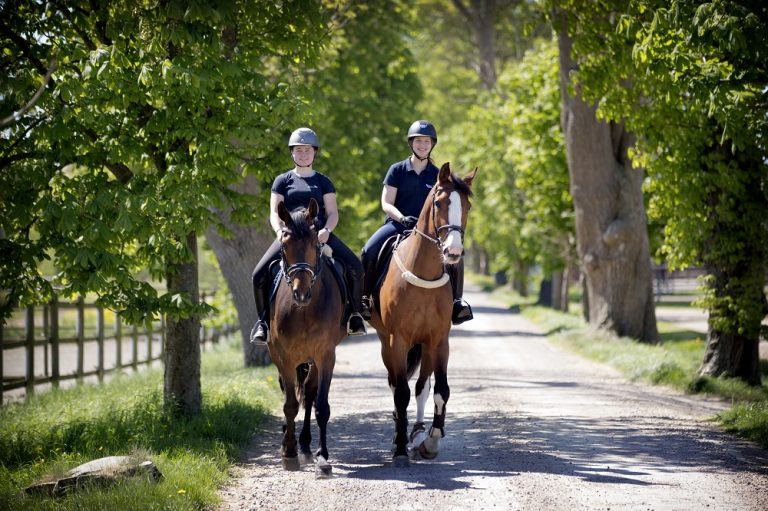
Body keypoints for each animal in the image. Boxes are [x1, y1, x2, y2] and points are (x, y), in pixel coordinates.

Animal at [268, 198, 344, 478]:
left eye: (315, 244)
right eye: (284, 246)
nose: (301, 294)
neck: (303, 310)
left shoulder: (326, 355)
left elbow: (321, 405)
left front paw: (323, 458)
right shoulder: (282, 356)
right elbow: (290, 404)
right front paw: (288, 453)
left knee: (309, 393)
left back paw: (306, 445)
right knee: (291, 394)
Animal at [368, 162, 476, 466]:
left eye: (467, 205)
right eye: (439, 203)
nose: (453, 251)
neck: (423, 272)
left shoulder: (439, 340)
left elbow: (439, 390)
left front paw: (431, 439)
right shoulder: (398, 340)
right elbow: (401, 392)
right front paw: (400, 447)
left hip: (425, 346)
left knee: (421, 386)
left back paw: (416, 433)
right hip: (387, 343)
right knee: (396, 385)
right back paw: (400, 434)